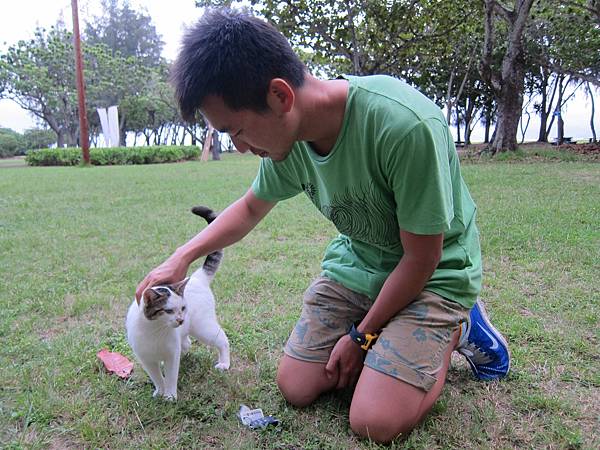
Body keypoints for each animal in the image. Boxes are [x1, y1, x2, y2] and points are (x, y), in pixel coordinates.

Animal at [125, 206, 231, 400]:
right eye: (167, 311)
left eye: (182, 308)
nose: (181, 319)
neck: (155, 331)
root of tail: (197, 277)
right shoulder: (146, 359)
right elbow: (157, 377)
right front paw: (159, 392)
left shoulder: (171, 355)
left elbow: (171, 376)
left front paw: (170, 396)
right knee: (187, 342)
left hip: (203, 328)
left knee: (222, 340)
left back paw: (224, 363)